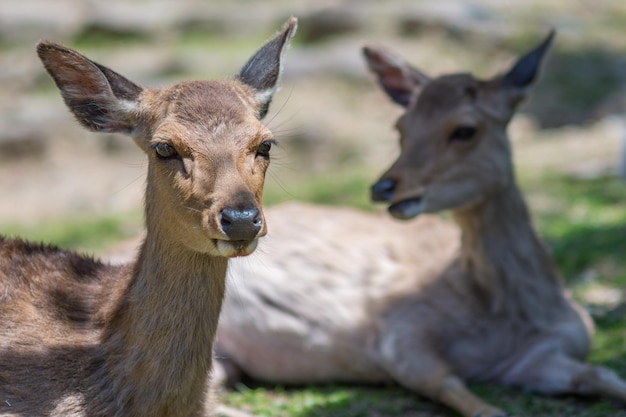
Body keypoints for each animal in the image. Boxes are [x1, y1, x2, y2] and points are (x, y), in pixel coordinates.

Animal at [206, 32, 626, 416]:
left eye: (465, 129)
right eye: (402, 127)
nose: (384, 186)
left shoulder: (540, 357)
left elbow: (601, 375)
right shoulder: (399, 331)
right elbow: (465, 396)